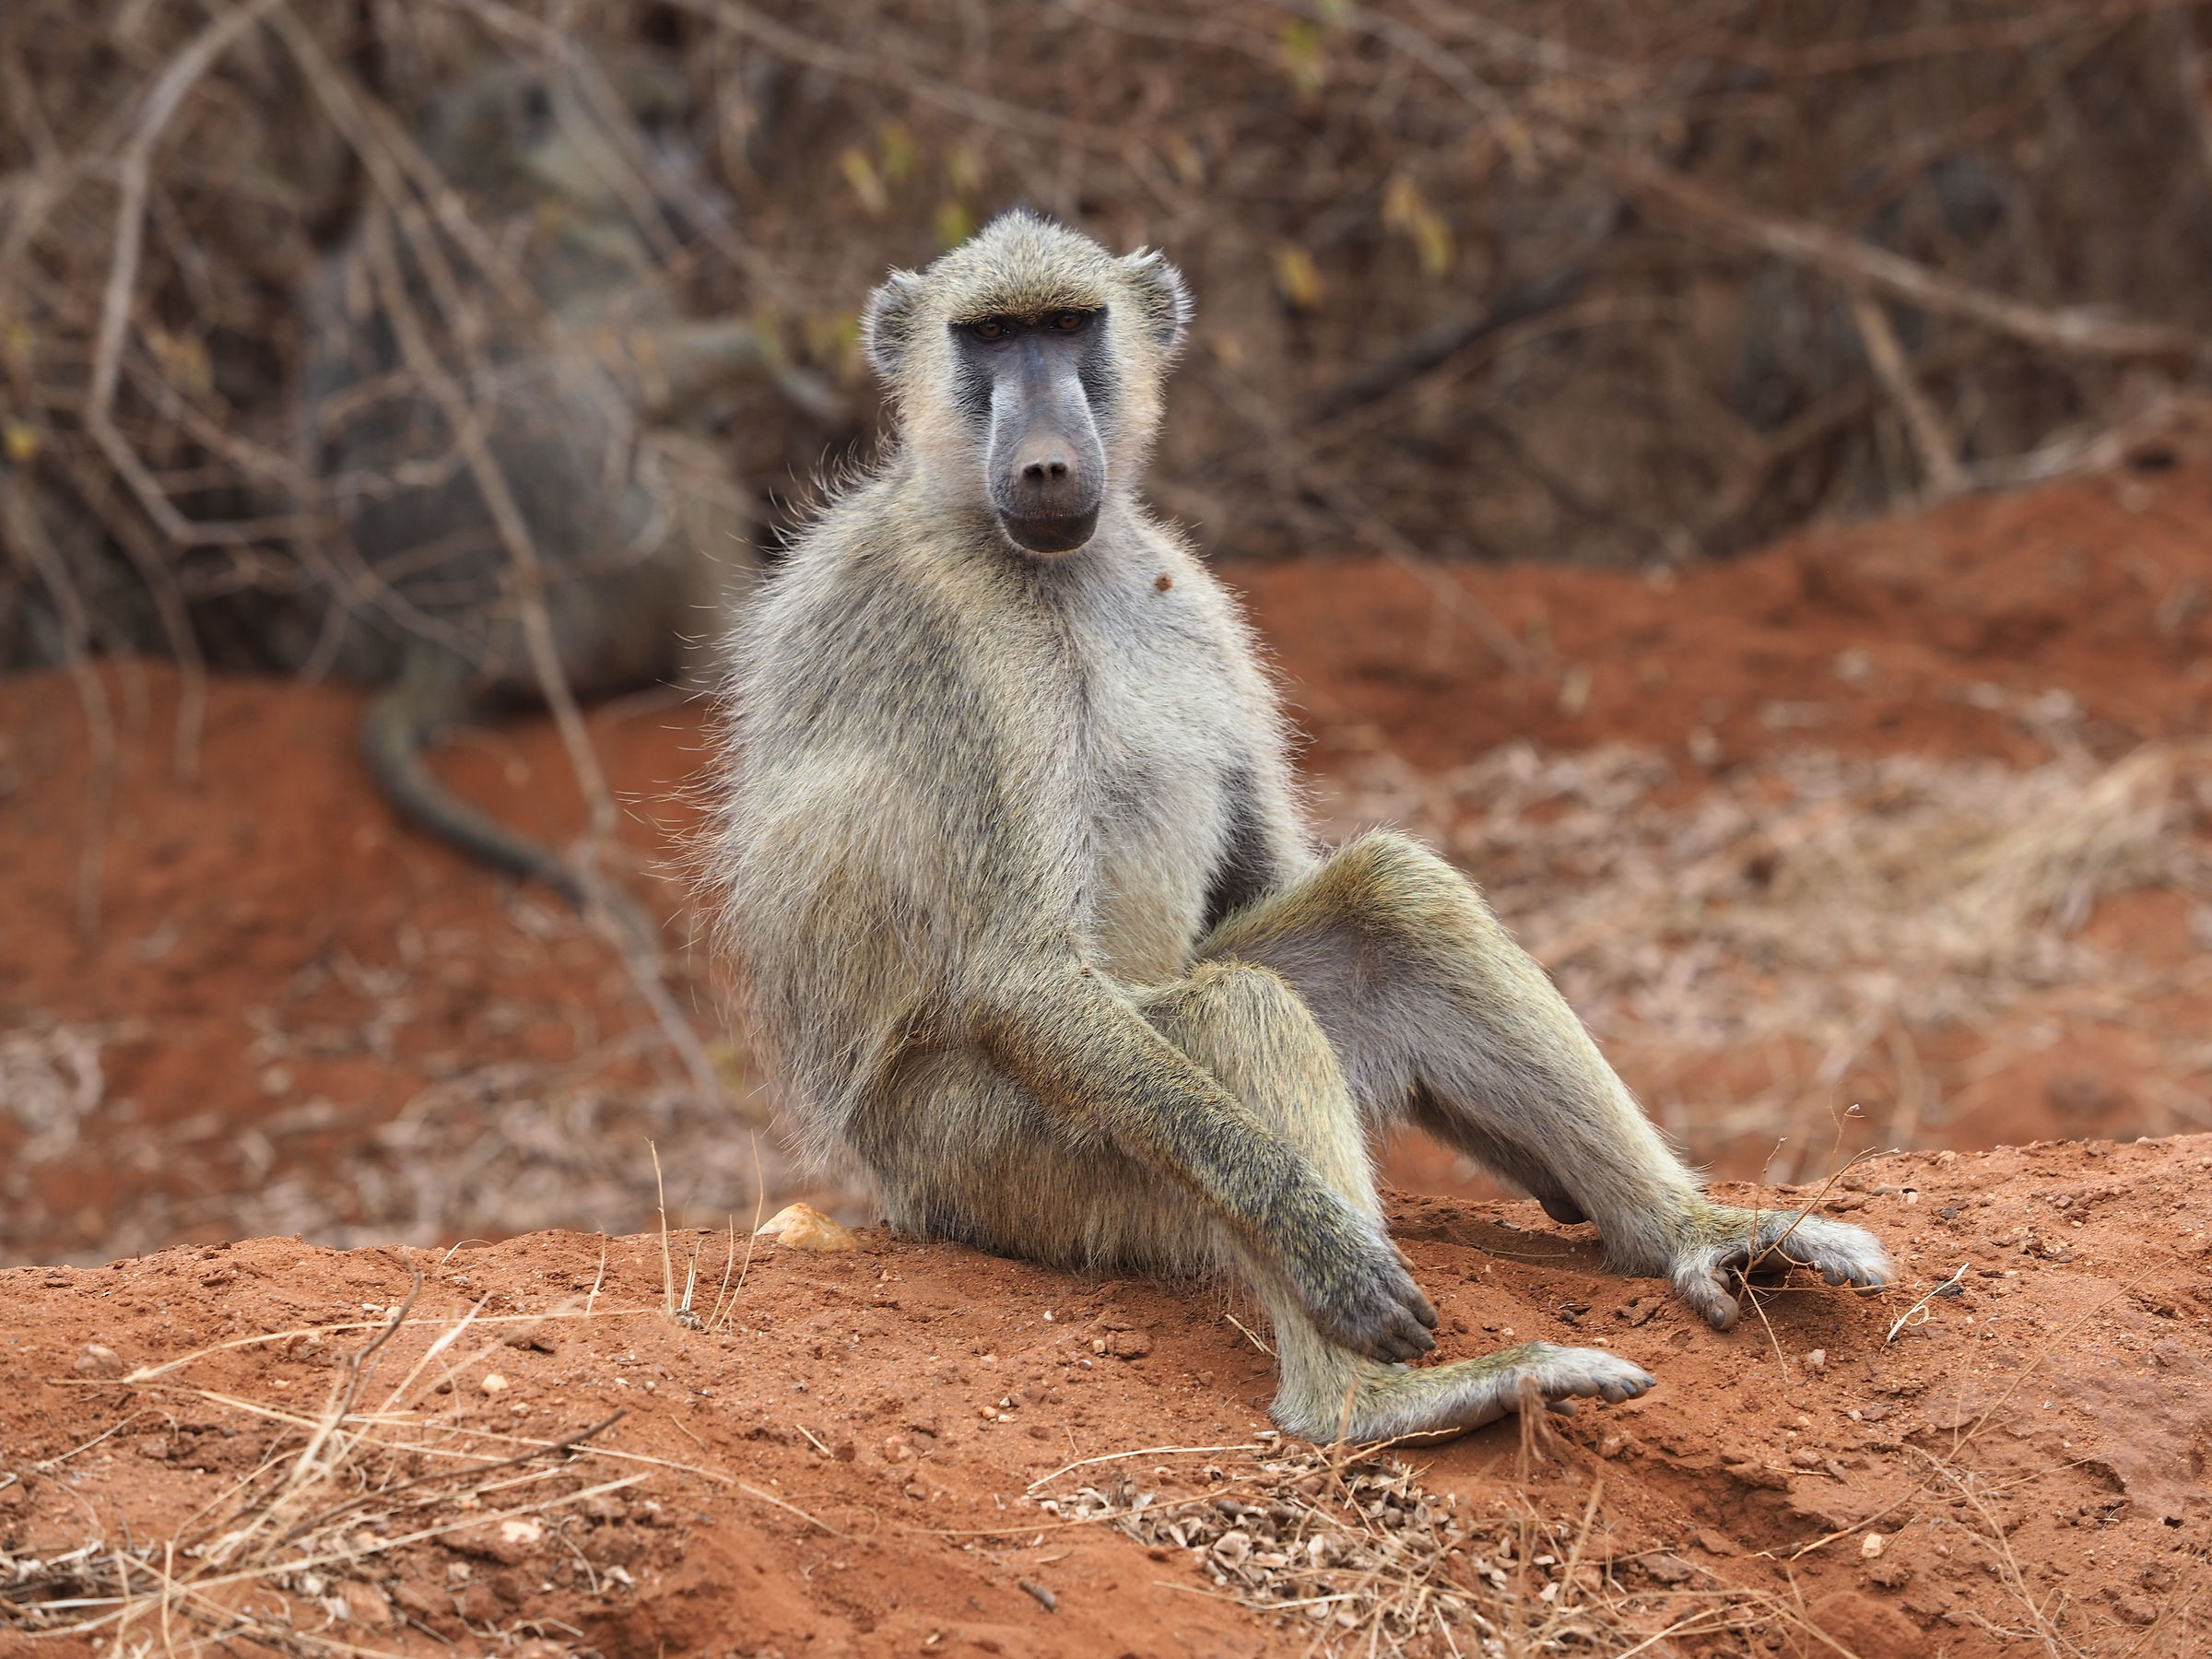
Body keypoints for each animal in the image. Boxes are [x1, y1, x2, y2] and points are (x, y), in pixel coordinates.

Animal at [301, 57, 806, 903]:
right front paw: (781, 352)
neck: (488, 173)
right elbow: (635, 370)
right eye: (649, 124)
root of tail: (452, 628)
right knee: (682, 474)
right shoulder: (591, 262)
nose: (693, 187)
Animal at [707, 211, 1892, 1443]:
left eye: (1068, 326)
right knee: (1228, 1009)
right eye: (988, 338)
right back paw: (1376, 1400)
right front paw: (1326, 1259)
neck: (1041, 562)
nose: (1044, 462)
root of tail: (901, 1195)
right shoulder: (956, 651)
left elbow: (1265, 875)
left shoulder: (1197, 599)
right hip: (1002, 1170)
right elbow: (1022, 975)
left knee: (1392, 897)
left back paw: (1693, 1234)